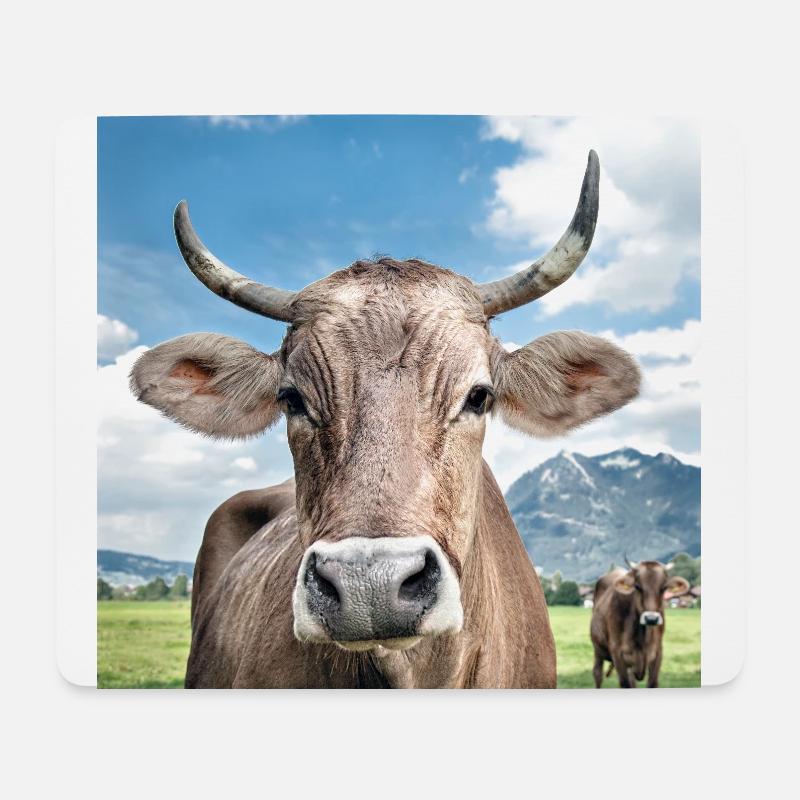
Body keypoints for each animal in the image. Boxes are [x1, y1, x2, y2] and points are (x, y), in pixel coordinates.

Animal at [590, 559, 690, 688]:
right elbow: (625, 684)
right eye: (637, 587)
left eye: (664, 587)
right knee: (597, 674)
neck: (642, 637)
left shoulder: (658, 653)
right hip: (597, 649)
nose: (651, 619)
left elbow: (652, 683)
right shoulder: (617, 653)